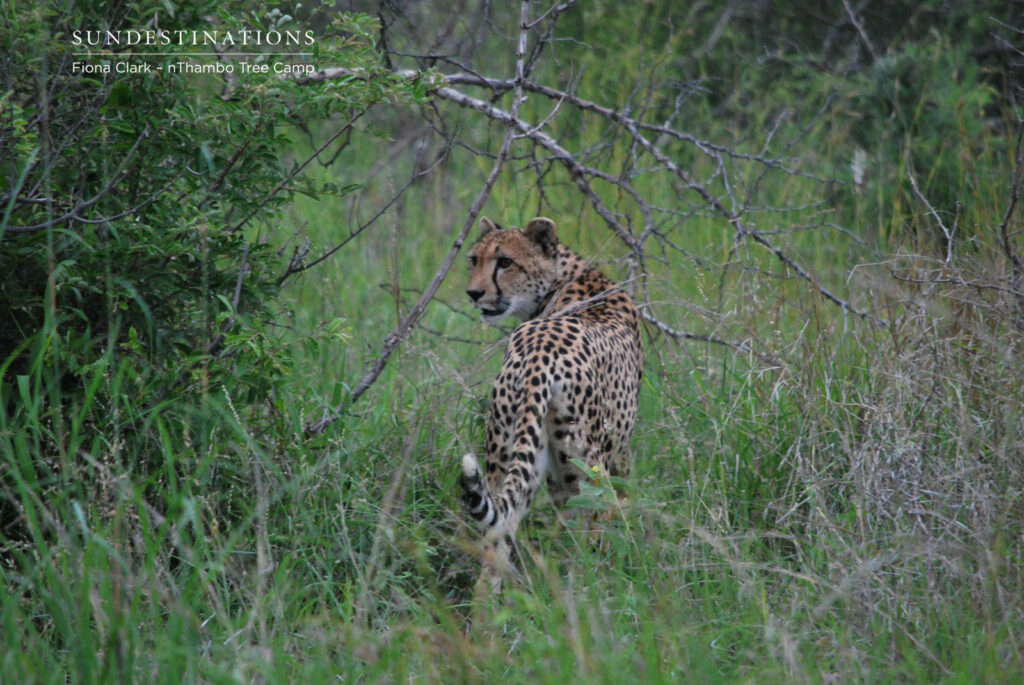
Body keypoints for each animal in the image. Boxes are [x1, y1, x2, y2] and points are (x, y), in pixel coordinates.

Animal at [459, 216, 643, 589]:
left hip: (505, 455)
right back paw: (598, 592)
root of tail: (538, 353)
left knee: (497, 536)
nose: (474, 293)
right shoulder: (616, 456)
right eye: (475, 260)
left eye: (505, 262)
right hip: (589, 467)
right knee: (597, 526)